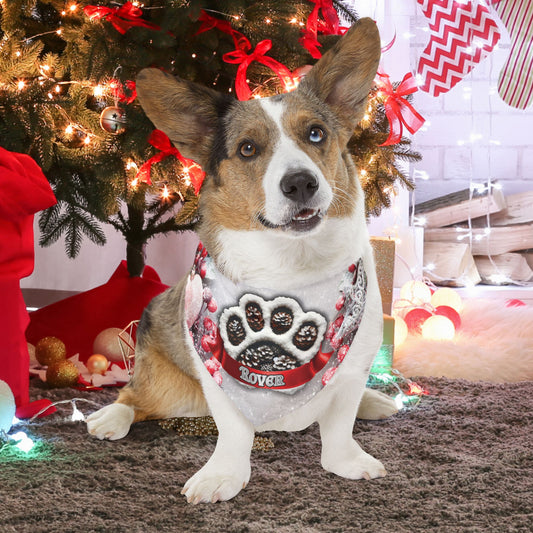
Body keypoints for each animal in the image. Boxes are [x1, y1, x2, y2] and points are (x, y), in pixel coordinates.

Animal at [87, 19, 396, 502]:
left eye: (315, 134)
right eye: (248, 149)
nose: (301, 184)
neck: (290, 268)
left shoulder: (352, 368)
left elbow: (340, 425)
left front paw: (347, 461)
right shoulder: (218, 374)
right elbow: (233, 432)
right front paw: (222, 476)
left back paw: (375, 401)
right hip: (166, 385)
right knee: (135, 398)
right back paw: (110, 417)